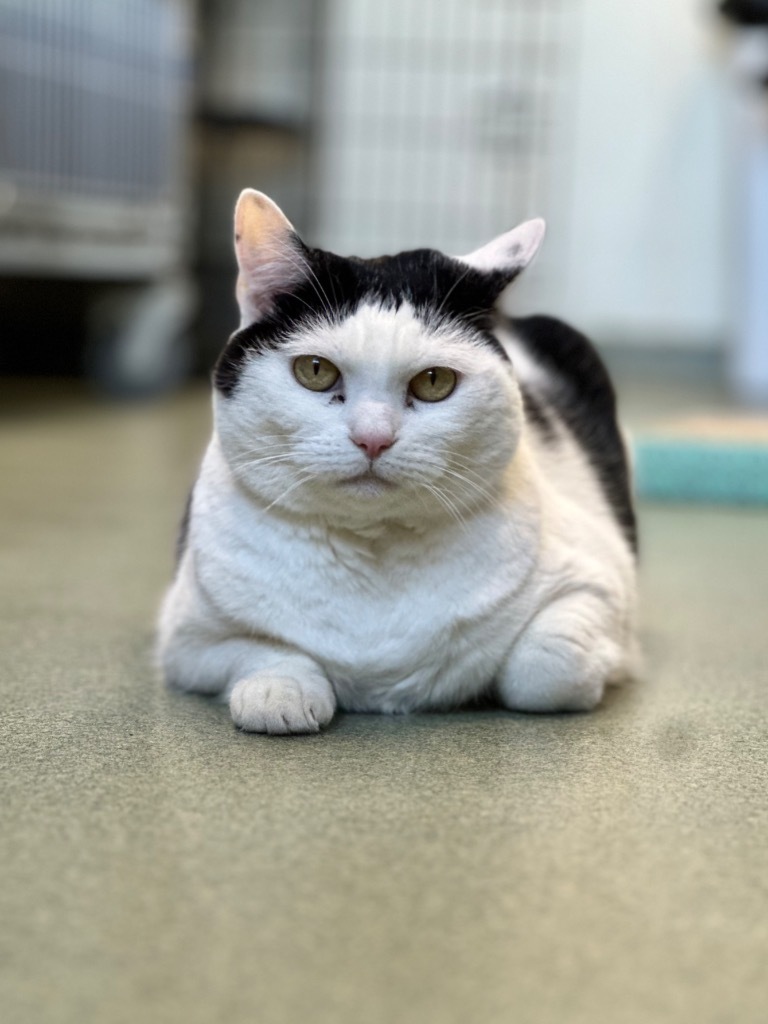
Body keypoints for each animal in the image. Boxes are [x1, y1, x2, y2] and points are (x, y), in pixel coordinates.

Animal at [156, 188, 638, 733]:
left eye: (434, 382)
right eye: (315, 370)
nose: (373, 439)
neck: (374, 552)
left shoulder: (603, 581)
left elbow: (549, 669)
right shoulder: (186, 638)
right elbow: (263, 647)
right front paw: (279, 691)